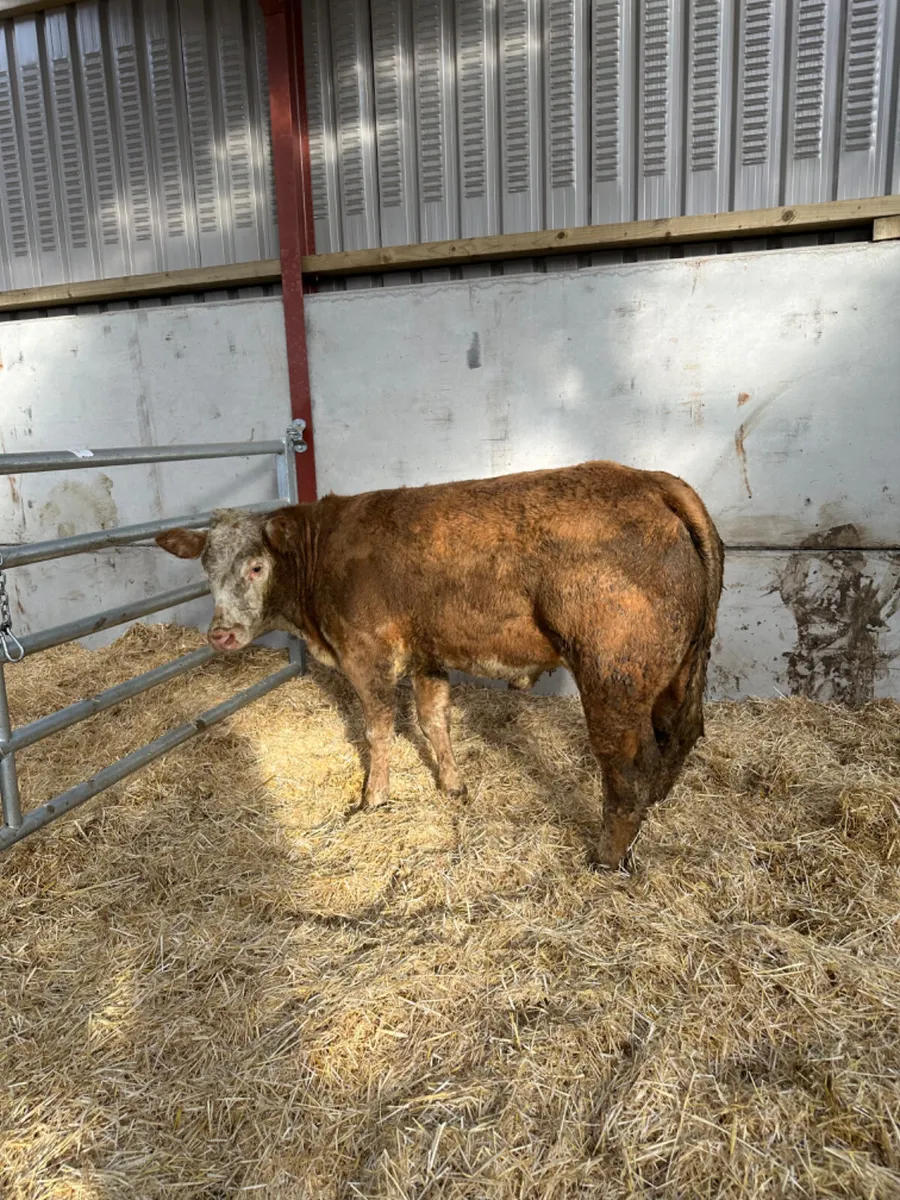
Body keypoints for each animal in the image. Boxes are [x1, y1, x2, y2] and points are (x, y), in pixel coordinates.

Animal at [155, 461, 724, 870]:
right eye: (206, 569)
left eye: (256, 566)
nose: (220, 633)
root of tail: (648, 480)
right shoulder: (428, 656)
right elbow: (434, 721)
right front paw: (453, 786)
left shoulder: (367, 654)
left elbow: (379, 729)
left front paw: (374, 799)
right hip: (681, 669)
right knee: (681, 732)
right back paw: (658, 803)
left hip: (612, 676)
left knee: (626, 765)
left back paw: (607, 857)